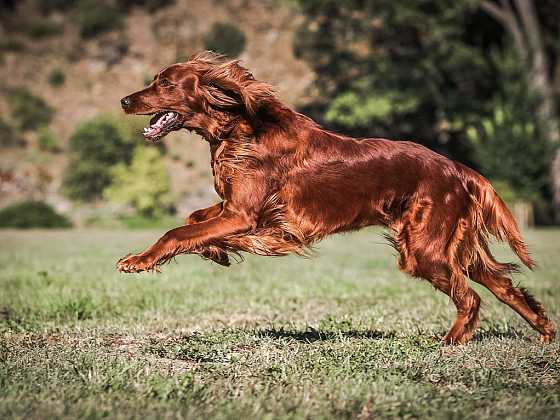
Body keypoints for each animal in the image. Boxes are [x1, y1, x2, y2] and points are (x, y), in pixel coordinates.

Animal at [118, 50, 556, 344]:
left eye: (165, 84)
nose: (124, 100)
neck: (241, 126)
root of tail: (460, 170)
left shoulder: (242, 215)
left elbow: (177, 231)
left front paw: (138, 260)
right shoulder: (236, 211)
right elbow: (193, 220)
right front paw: (215, 252)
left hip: (425, 251)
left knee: (471, 298)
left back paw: (451, 342)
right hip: (452, 247)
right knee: (505, 287)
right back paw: (545, 331)